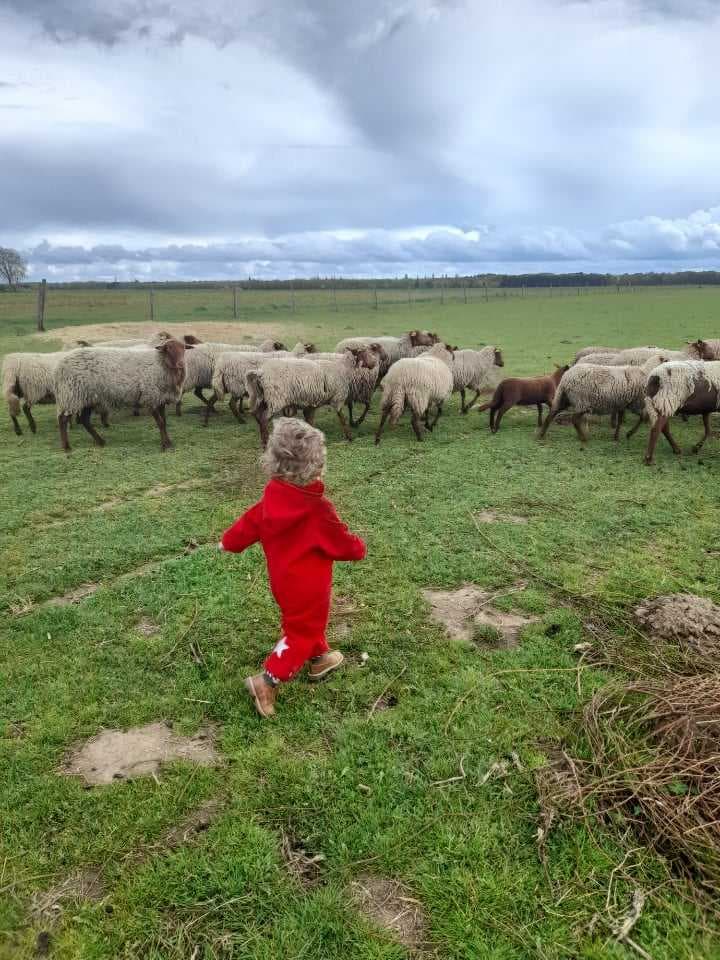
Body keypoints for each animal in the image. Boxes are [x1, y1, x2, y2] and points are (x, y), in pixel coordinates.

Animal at [53, 339, 191, 452]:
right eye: (168, 349)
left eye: (183, 348)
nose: (180, 364)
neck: (160, 364)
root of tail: (59, 366)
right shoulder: (150, 397)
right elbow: (160, 423)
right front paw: (165, 445)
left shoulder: (161, 398)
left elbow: (164, 422)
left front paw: (168, 443)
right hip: (71, 394)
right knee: (63, 419)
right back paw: (66, 447)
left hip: (88, 397)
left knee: (84, 420)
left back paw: (100, 441)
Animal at [246, 347, 377, 447]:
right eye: (364, 353)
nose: (375, 363)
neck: (343, 369)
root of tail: (261, 373)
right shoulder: (338, 397)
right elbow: (342, 419)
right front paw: (349, 437)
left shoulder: (311, 403)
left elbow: (310, 422)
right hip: (276, 399)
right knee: (264, 419)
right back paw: (265, 443)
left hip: (262, 397)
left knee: (258, 416)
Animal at [538, 355, 670, 444]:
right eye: (667, 361)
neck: (645, 372)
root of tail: (566, 378)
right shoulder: (635, 403)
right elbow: (643, 417)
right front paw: (629, 433)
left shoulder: (622, 403)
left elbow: (620, 420)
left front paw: (616, 436)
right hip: (582, 401)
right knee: (574, 419)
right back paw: (583, 438)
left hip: (565, 398)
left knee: (551, 414)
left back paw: (541, 434)